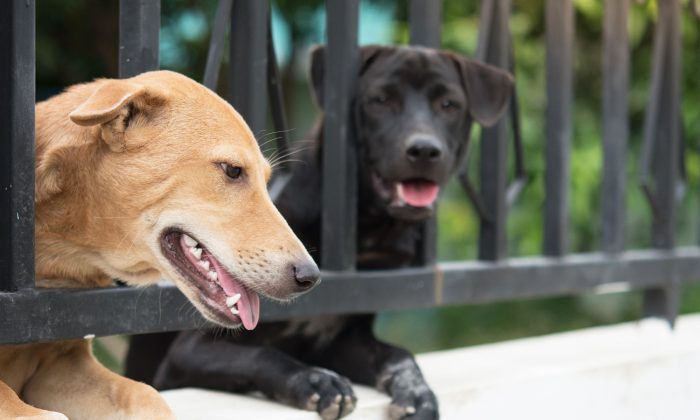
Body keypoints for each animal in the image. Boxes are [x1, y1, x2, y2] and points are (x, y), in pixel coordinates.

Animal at [126, 46, 512, 420]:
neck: (364, 232)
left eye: (449, 104)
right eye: (380, 99)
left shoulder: (345, 341)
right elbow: (260, 355)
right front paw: (315, 381)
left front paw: (416, 393)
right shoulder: (189, 351)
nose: (424, 150)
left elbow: (399, 355)